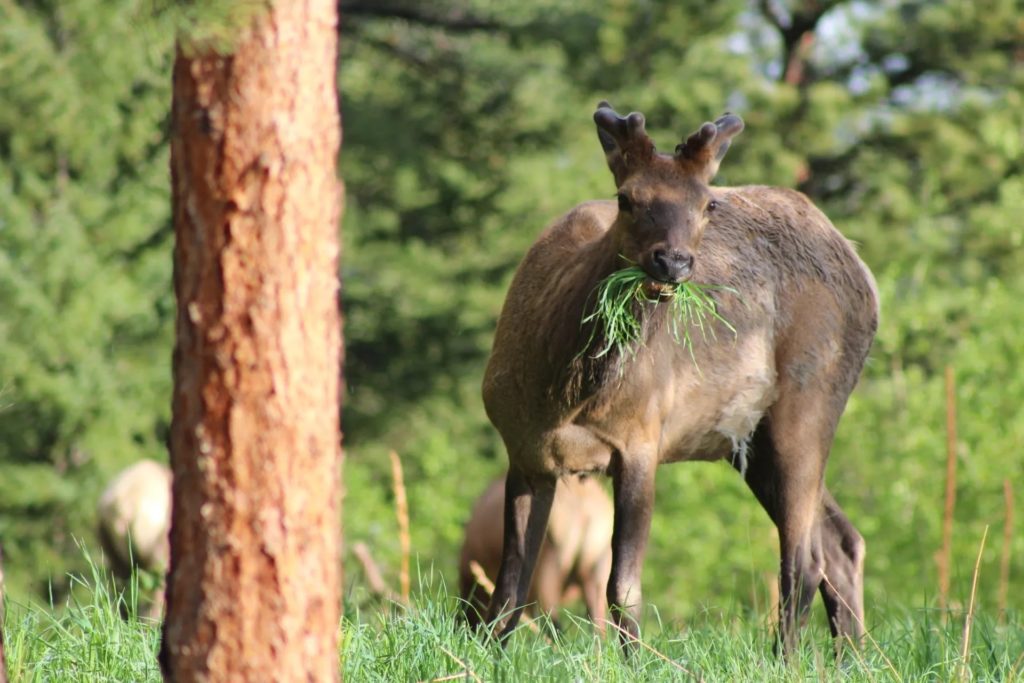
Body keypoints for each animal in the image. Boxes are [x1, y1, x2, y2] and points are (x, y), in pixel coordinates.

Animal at [481, 102, 878, 655]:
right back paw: (851, 661)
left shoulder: (642, 439)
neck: (561, 395)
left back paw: (788, 660)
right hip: (748, 440)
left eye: (708, 204)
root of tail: (865, 274)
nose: (673, 261)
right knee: (841, 542)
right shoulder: (524, 451)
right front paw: (487, 656)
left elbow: (623, 586)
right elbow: (509, 589)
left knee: (802, 559)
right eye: (626, 197)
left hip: (810, 397)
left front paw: (633, 660)